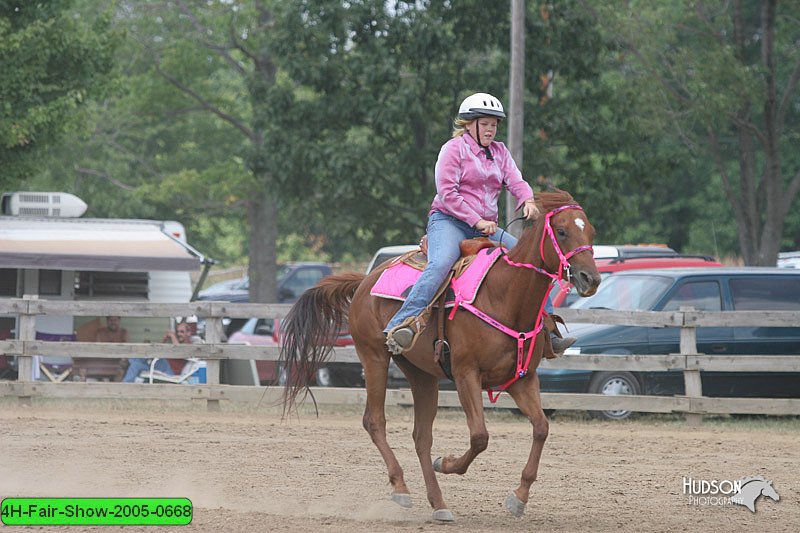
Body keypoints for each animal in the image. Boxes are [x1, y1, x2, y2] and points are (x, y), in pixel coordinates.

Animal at [282, 190, 600, 520]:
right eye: (561, 231)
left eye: (590, 231)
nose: (590, 278)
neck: (504, 296)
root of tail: (365, 281)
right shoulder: (465, 374)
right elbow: (480, 437)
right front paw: (446, 464)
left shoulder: (522, 380)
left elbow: (541, 428)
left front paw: (519, 497)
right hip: (374, 358)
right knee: (375, 421)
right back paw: (401, 487)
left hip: (421, 374)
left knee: (421, 437)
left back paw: (439, 503)